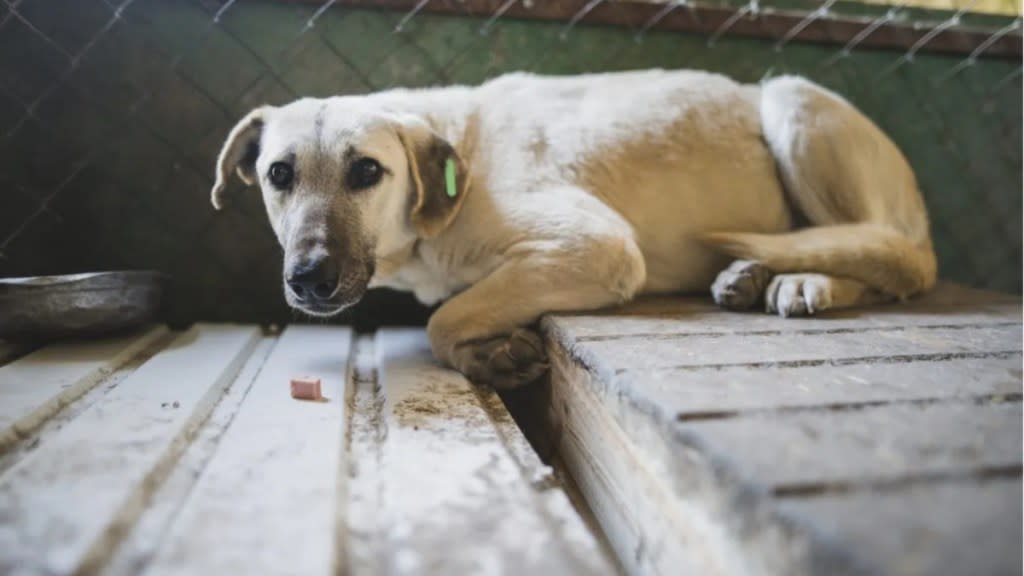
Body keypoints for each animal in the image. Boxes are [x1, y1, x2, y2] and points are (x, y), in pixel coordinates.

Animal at [209, 69, 937, 387]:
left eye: (366, 171)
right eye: (279, 174)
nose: (309, 279)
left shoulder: (598, 248)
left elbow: (444, 321)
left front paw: (487, 353)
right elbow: (451, 314)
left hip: (790, 101)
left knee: (892, 256)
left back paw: (808, 280)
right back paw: (751, 273)